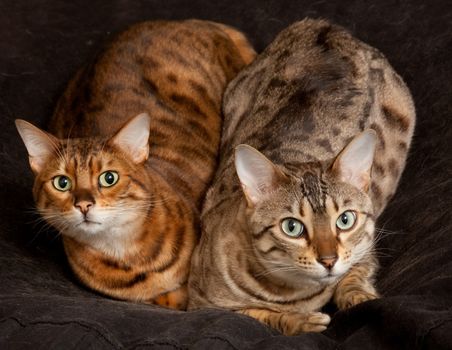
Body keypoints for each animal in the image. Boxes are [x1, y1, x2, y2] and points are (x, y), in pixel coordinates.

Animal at [188, 18, 416, 334]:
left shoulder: (365, 248)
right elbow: (256, 313)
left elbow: (356, 274)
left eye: (345, 220)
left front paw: (360, 297)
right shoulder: (201, 304)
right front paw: (299, 320)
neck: (295, 292)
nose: (329, 260)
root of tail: (325, 27)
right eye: (292, 227)